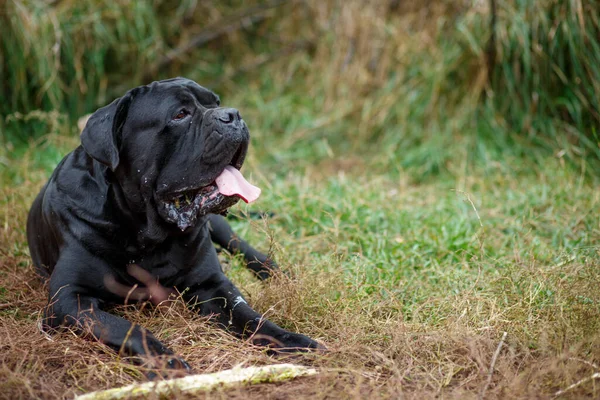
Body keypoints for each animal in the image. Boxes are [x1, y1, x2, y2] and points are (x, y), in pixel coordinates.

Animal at [25, 77, 322, 372]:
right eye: (180, 115)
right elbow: (127, 328)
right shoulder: (68, 300)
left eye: (216, 102)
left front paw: (295, 341)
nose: (232, 115)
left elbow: (250, 317)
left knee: (246, 250)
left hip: (220, 228)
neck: (146, 236)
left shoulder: (212, 285)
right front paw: (166, 361)